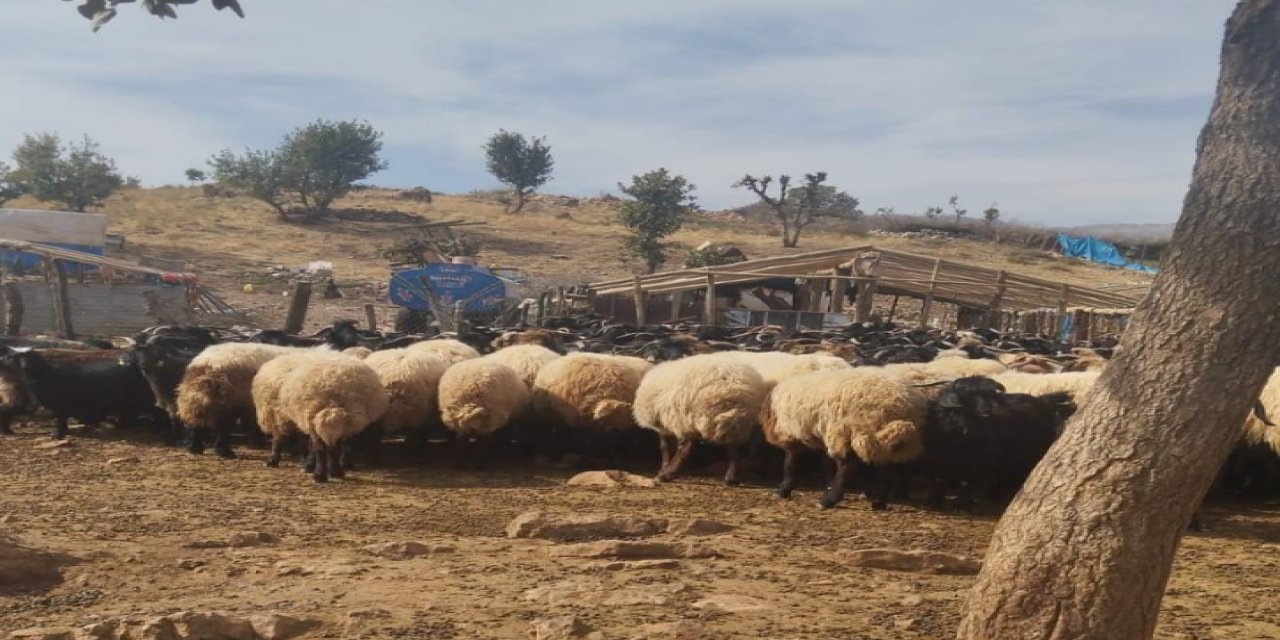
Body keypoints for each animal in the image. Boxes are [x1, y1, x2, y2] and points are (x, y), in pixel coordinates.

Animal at [632, 353, 762, 481]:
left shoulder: (665, 423)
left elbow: (665, 447)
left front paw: (663, 469)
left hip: (689, 417)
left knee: (686, 448)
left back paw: (667, 474)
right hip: (729, 423)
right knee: (733, 448)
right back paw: (731, 478)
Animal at [757, 371, 931, 509]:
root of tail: (898, 405)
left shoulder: (791, 435)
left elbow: (791, 464)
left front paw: (783, 490)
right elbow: (826, 465)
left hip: (849, 431)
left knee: (848, 467)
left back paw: (828, 501)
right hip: (877, 440)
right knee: (883, 468)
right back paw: (879, 502)